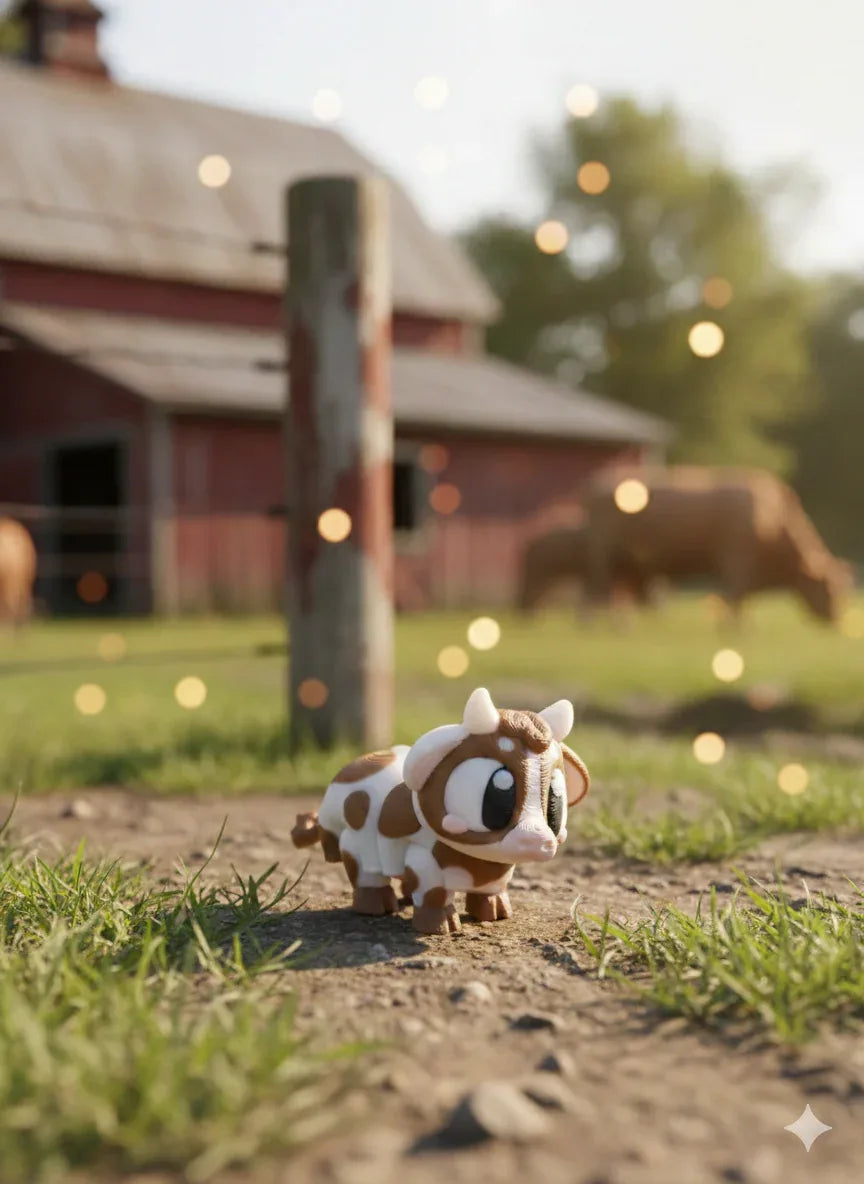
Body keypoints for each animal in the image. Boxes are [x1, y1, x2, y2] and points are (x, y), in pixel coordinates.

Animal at [579, 466, 853, 624]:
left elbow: (740, 599)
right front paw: (735, 629)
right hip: (601, 553)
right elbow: (735, 596)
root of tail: (595, 486)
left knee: (614, 592)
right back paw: (595, 624)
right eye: (828, 588)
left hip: (622, 560)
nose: (835, 619)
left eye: (844, 587)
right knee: (595, 590)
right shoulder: (737, 559)